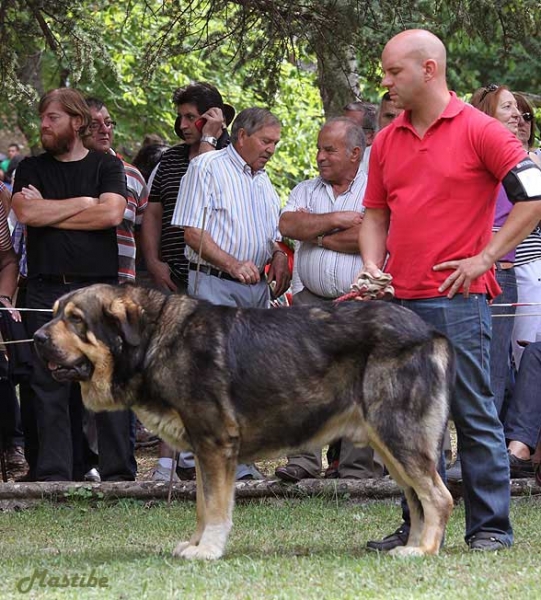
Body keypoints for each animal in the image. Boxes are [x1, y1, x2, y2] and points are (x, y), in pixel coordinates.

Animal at [33, 284, 454, 560]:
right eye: (54, 314)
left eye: (75, 320)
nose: (36, 337)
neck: (155, 340)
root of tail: (430, 333)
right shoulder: (203, 448)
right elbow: (203, 505)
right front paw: (196, 543)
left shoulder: (216, 443)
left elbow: (216, 507)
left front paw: (208, 550)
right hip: (391, 445)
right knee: (418, 500)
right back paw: (414, 545)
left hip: (398, 435)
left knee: (439, 497)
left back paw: (424, 551)